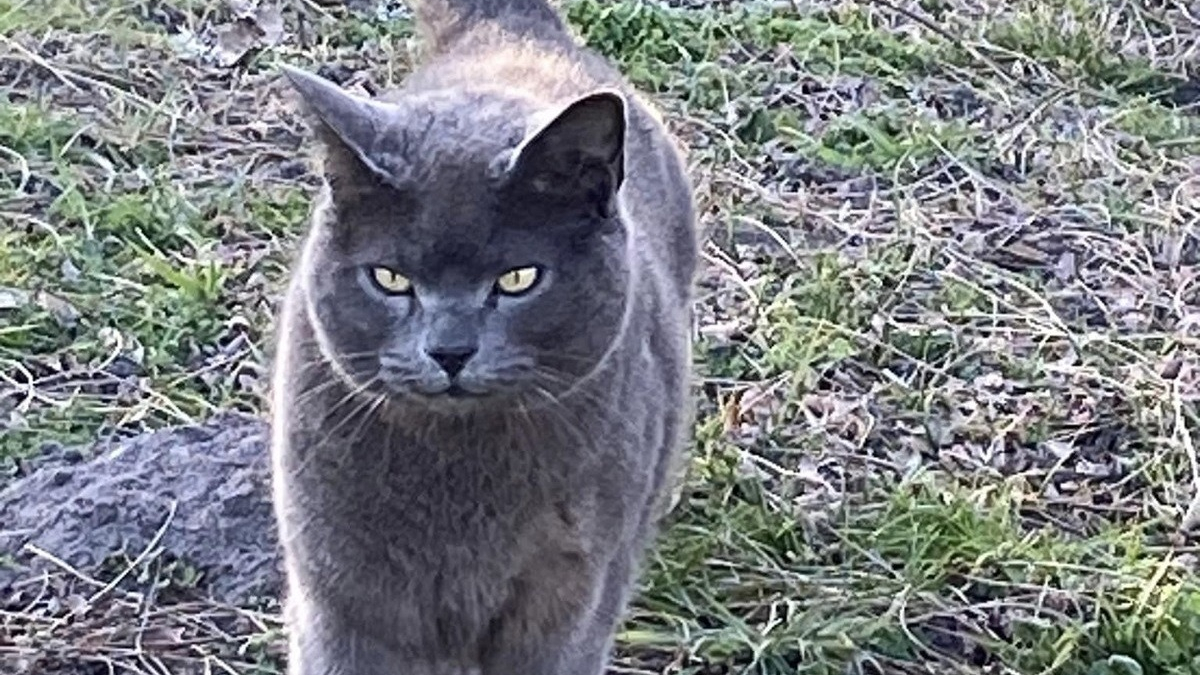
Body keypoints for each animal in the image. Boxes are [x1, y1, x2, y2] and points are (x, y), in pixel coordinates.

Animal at [265, 0, 696, 667]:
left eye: (518, 279)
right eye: (389, 278)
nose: (449, 350)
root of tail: (511, 33)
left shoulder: (567, 601)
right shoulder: (342, 597)